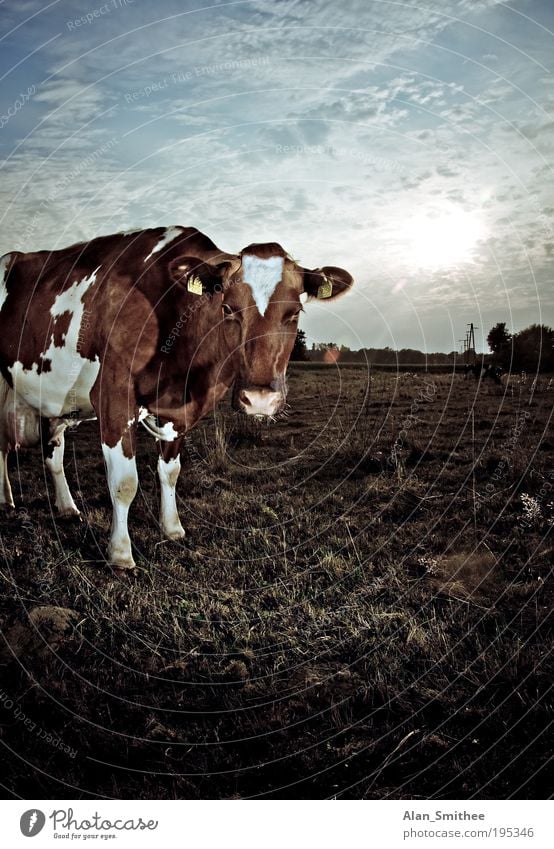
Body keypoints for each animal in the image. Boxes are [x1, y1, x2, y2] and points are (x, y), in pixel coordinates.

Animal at [0, 227, 352, 568]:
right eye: (228, 308)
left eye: (294, 313)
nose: (260, 398)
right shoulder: (114, 399)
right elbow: (124, 483)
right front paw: (120, 554)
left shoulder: (178, 414)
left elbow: (170, 472)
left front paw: (172, 529)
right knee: (4, 447)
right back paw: (6, 499)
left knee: (53, 452)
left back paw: (66, 507)